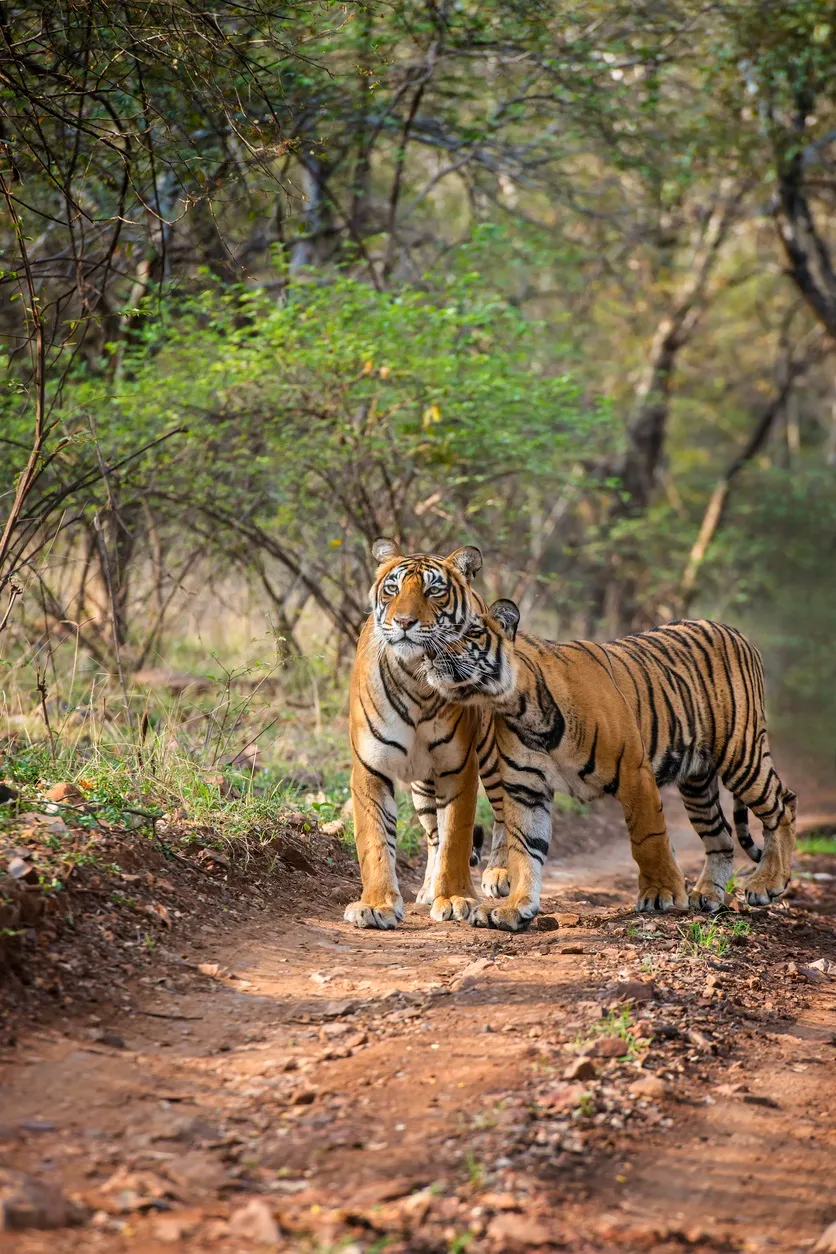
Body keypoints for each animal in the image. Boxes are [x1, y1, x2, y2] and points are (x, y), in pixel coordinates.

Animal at [344, 538, 508, 930]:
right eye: (392, 588)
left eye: (434, 590)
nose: (404, 622)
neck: (416, 675)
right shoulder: (371, 768)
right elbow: (375, 841)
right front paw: (375, 905)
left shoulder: (459, 767)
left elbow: (457, 838)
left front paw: (457, 898)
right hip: (421, 786)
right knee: (433, 835)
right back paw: (427, 889)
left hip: (492, 756)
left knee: (503, 815)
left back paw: (497, 875)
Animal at [420, 597, 797, 931]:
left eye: (468, 632)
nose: (428, 652)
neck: (515, 705)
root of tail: (734, 630)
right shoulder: (525, 788)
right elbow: (524, 849)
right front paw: (514, 909)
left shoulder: (634, 772)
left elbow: (648, 838)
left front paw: (661, 892)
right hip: (697, 782)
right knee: (722, 837)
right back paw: (707, 895)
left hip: (741, 753)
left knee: (783, 805)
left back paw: (767, 882)